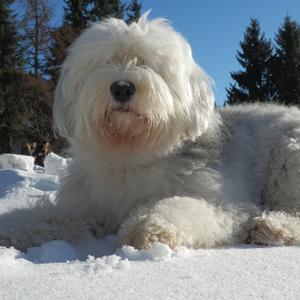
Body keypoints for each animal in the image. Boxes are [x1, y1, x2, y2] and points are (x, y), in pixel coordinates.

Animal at [0, 12, 300, 250]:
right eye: (105, 61)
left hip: (288, 158)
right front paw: (11, 229)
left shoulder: (228, 203)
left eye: (146, 63)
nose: (122, 88)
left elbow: (186, 206)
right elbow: (48, 217)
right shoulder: (86, 207)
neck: (133, 153)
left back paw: (274, 226)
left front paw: (149, 226)